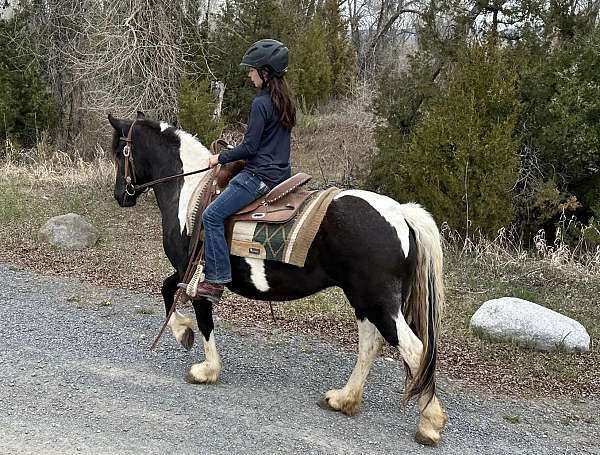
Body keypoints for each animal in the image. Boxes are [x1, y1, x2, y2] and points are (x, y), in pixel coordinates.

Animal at [108, 113, 448, 446]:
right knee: (370, 344)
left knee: (414, 350)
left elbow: (200, 316)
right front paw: (183, 333)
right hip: (364, 299)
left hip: (377, 300)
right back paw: (344, 399)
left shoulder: (193, 272)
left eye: (119, 152)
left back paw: (429, 424)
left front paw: (205, 367)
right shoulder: (184, 272)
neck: (189, 189)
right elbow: (167, 290)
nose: (120, 196)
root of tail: (400, 213)